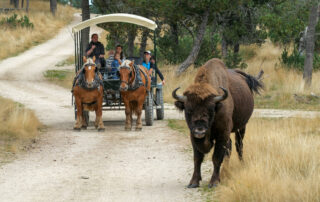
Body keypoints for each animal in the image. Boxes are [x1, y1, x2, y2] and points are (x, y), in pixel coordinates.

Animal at [172, 58, 262, 188]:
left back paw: (240, 165)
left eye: (211, 110)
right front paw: (193, 182)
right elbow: (197, 158)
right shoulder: (193, 136)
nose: (200, 130)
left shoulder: (222, 134)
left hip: (242, 127)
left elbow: (217, 157)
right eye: (188, 110)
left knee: (238, 146)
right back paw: (225, 171)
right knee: (230, 148)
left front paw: (214, 182)